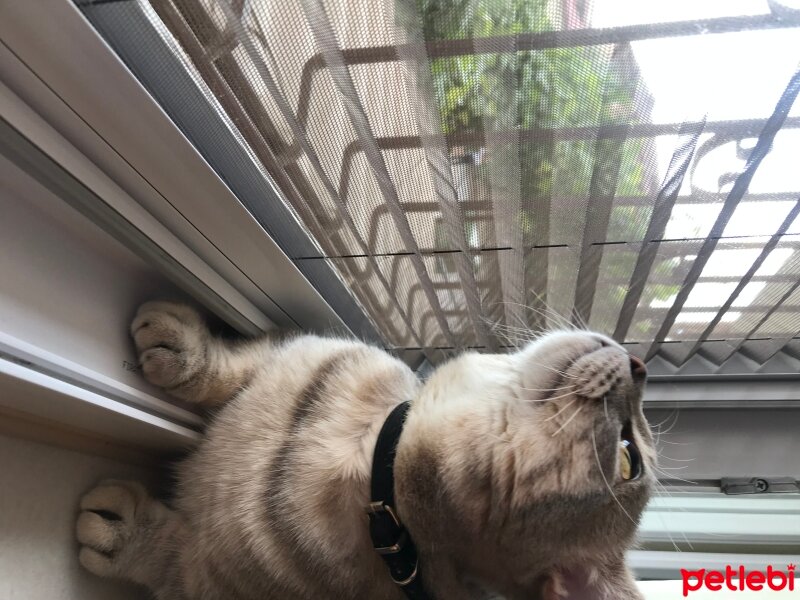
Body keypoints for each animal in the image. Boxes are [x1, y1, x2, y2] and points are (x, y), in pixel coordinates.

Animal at [78, 300, 656, 600]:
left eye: (629, 457)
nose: (639, 362)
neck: (371, 451)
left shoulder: (213, 583)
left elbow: (167, 558)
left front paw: (125, 536)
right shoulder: (289, 352)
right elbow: (226, 366)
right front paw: (184, 349)